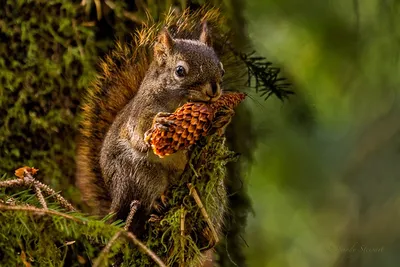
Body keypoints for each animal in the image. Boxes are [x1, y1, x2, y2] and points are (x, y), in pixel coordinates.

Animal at [75, 14, 225, 237]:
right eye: (180, 71)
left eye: (221, 69)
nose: (213, 90)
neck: (178, 103)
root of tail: (114, 199)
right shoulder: (140, 112)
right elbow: (139, 131)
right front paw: (158, 123)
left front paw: (223, 118)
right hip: (138, 174)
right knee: (145, 197)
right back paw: (157, 202)